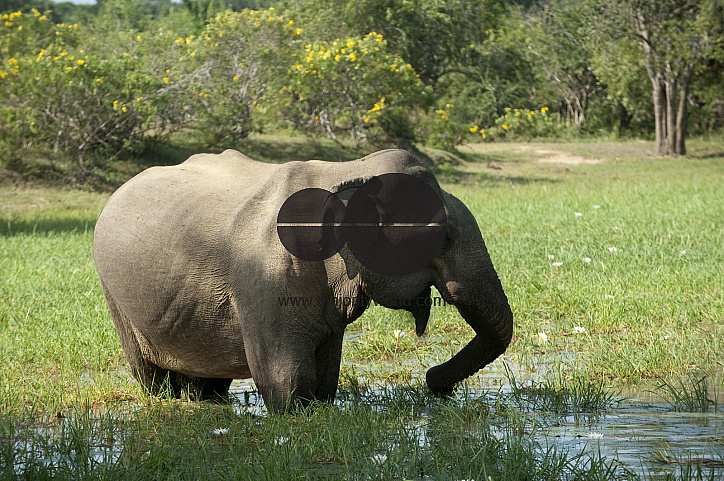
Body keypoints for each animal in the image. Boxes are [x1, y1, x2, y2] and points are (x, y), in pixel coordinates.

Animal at [93, 148, 513, 412]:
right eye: (443, 238)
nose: (433, 381)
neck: (346, 170)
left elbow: (325, 377)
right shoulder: (263, 281)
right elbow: (289, 382)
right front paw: (294, 413)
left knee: (208, 381)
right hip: (115, 296)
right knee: (149, 376)